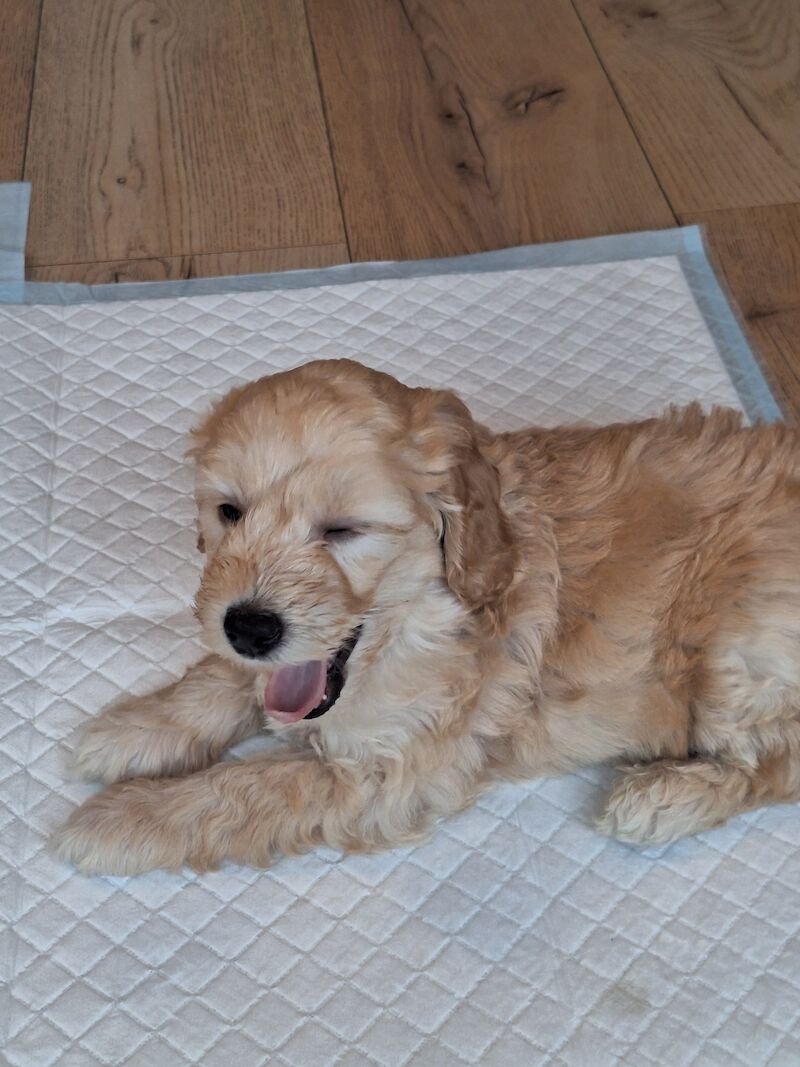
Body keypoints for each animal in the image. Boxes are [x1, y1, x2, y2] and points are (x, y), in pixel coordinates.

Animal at [54, 358, 800, 874]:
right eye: (229, 512)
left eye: (343, 530)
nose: (250, 628)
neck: (416, 622)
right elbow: (224, 678)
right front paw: (138, 727)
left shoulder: (385, 772)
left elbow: (244, 786)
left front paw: (122, 819)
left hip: (739, 647)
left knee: (776, 761)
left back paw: (664, 800)